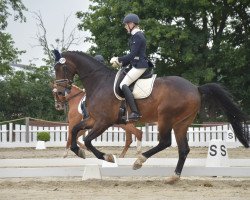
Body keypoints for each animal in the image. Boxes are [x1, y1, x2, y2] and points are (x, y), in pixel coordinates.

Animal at [53, 50, 249, 184]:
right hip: (181, 123)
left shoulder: (103, 121)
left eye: (61, 67)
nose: (60, 93)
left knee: (165, 142)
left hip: (165, 118)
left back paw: (139, 161)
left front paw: (108, 157)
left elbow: (87, 140)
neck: (99, 82)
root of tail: (196, 88)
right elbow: (75, 131)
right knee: (183, 149)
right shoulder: (93, 120)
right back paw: (173, 177)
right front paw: (78, 152)